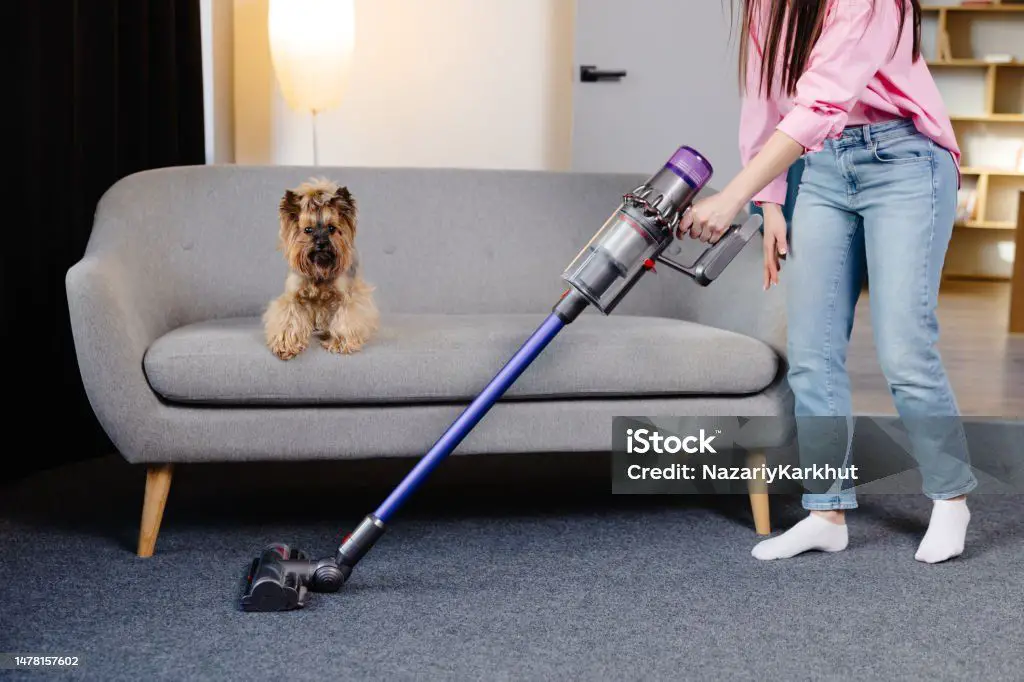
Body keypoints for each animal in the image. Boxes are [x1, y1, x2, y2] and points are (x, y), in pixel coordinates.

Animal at [262, 179, 378, 360]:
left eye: (331, 228)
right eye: (308, 230)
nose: (321, 242)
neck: (319, 269)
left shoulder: (345, 298)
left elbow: (344, 320)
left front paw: (339, 343)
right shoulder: (293, 298)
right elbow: (289, 320)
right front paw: (286, 346)